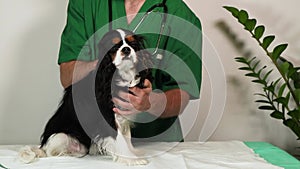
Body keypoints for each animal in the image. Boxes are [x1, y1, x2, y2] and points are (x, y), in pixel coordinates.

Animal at [17, 29, 151, 165]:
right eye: (114, 47)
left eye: (133, 45)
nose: (126, 49)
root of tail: (42, 147)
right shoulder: (107, 117)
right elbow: (120, 139)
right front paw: (131, 159)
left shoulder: (122, 115)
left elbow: (127, 138)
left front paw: (133, 153)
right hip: (61, 137)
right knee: (51, 153)